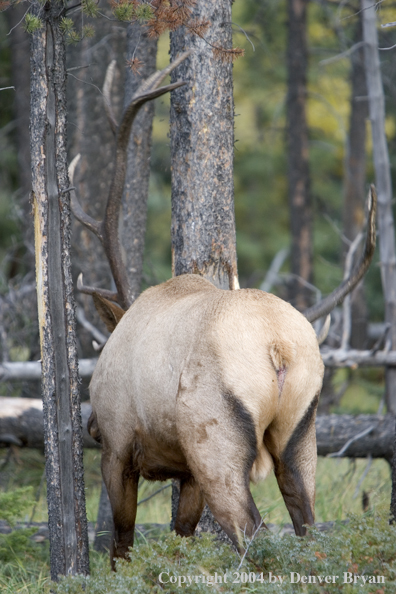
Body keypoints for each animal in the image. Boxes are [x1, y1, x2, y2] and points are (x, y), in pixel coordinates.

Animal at [69, 53, 378, 568]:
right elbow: (181, 533)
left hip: (215, 436)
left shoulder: (118, 444)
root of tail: (277, 346)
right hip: (301, 431)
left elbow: (122, 540)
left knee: (251, 529)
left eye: (98, 423)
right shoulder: (186, 470)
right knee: (307, 523)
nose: (88, 425)